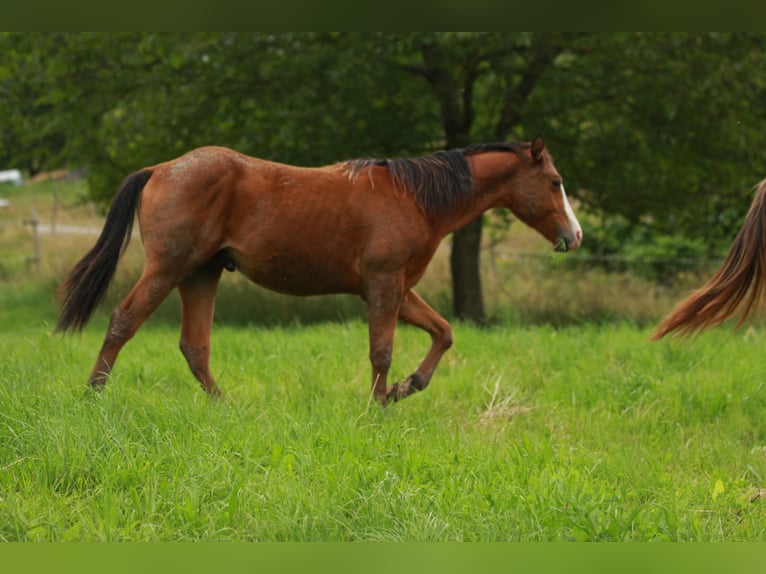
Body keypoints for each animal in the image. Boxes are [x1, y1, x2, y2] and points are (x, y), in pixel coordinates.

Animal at [58, 135, 584, 404]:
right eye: (555, 182)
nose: (576, 236)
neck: (414, 197)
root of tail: (161, 168)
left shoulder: (398, 289)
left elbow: (443, 332)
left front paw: (405, 389)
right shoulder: (384, 286)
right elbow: (381, 351)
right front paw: (378, 407)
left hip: (201, 274)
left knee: (195, 347)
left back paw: (225, 405)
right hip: (168, 269)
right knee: (124, 321)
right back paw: (93, 395)